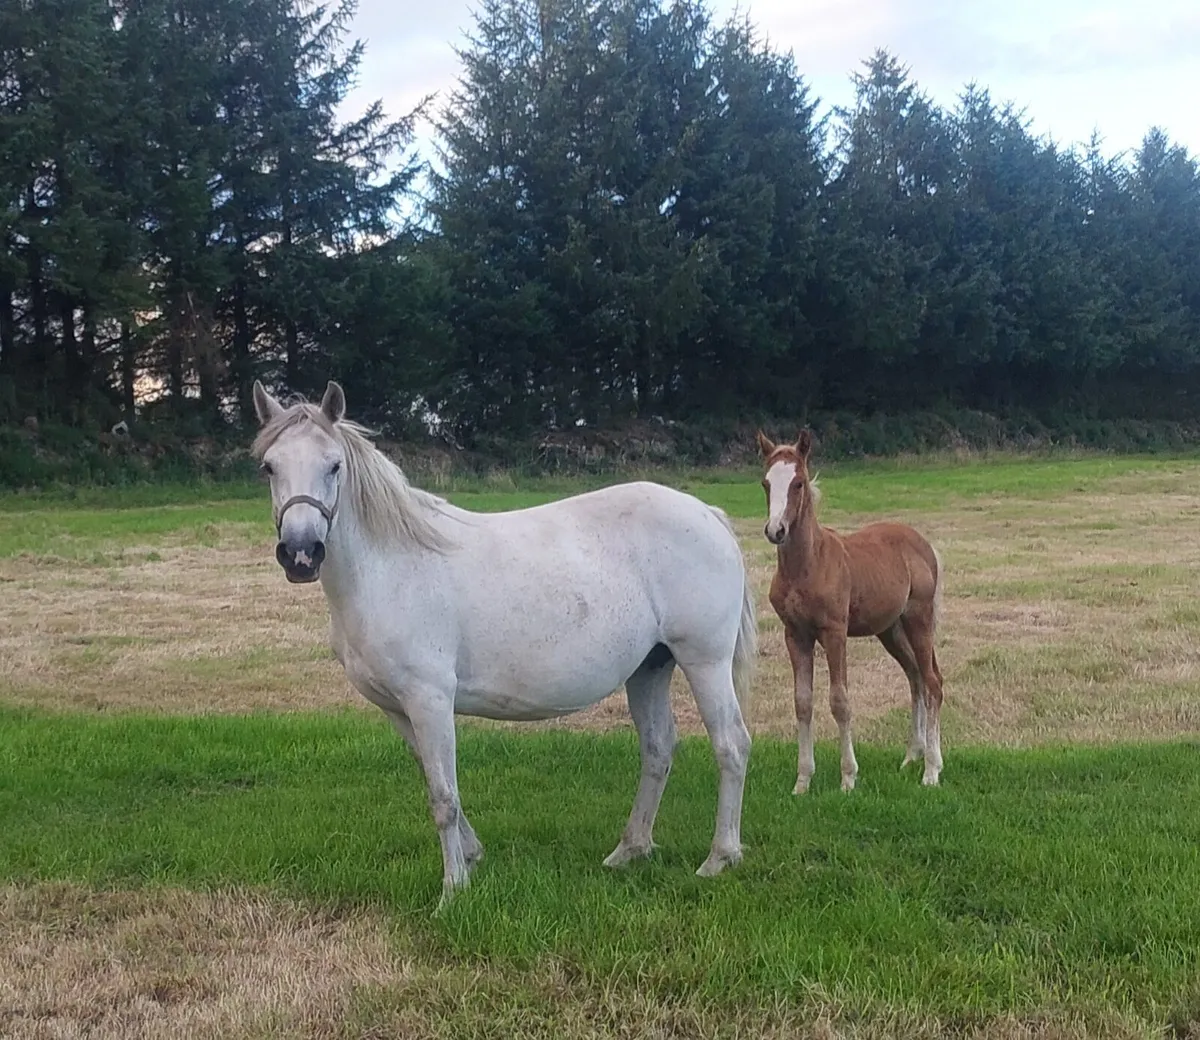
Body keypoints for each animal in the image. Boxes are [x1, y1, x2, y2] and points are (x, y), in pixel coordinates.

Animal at [250, 380, 757, 904]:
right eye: (269, 466)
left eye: (334, 465)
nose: (301, 553)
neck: (388, 566)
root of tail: (707, 513)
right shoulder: (397, 708)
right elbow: (434, 778)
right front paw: (472, 858)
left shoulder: (430, 700)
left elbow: (443, 797)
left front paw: (452, 890)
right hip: (649, 669)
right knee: (658, 749)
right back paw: (629, 850)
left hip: (705, 662)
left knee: (731, 745)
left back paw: (719, 857)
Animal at [755, 429, 945, 793]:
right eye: (766, 483)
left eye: (798, 482)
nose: (776, 531)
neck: (807, 565)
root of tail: (924, 545)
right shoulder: (795, 635)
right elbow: (803, 702)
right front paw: (802, 781)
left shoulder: (834, 633)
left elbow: (839, 701)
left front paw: (848, 778)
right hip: (890, 629)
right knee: (915, 676)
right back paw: (912, 756)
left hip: (919, 619)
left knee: (932, 682)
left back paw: (931, 770)